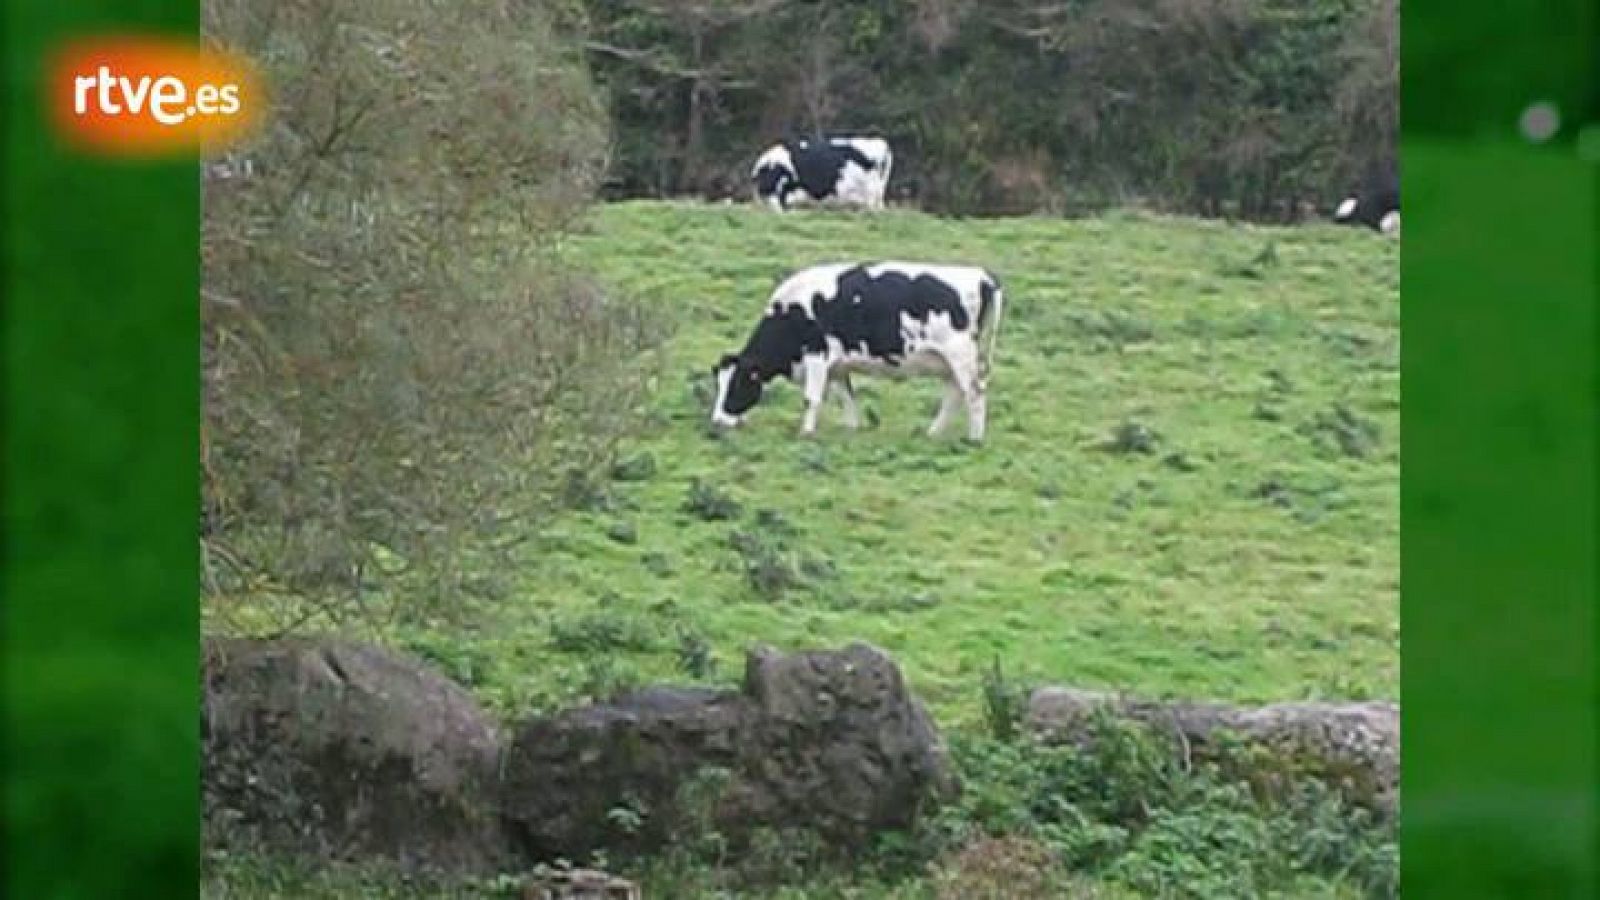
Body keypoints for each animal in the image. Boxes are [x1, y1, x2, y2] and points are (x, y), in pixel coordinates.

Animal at [710, 259, 998, 441]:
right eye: (719, 384)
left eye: (737, 384)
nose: (717, 423)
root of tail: (981, 277)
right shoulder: (837, 365)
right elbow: (846, 396)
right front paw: (851, 429)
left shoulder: (816, 353)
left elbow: (811, 399)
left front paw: (806, 433)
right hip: (949, 362)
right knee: (955, 394)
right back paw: (933, 433)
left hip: (960, 356)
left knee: (974, 393)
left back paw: (974, 439)